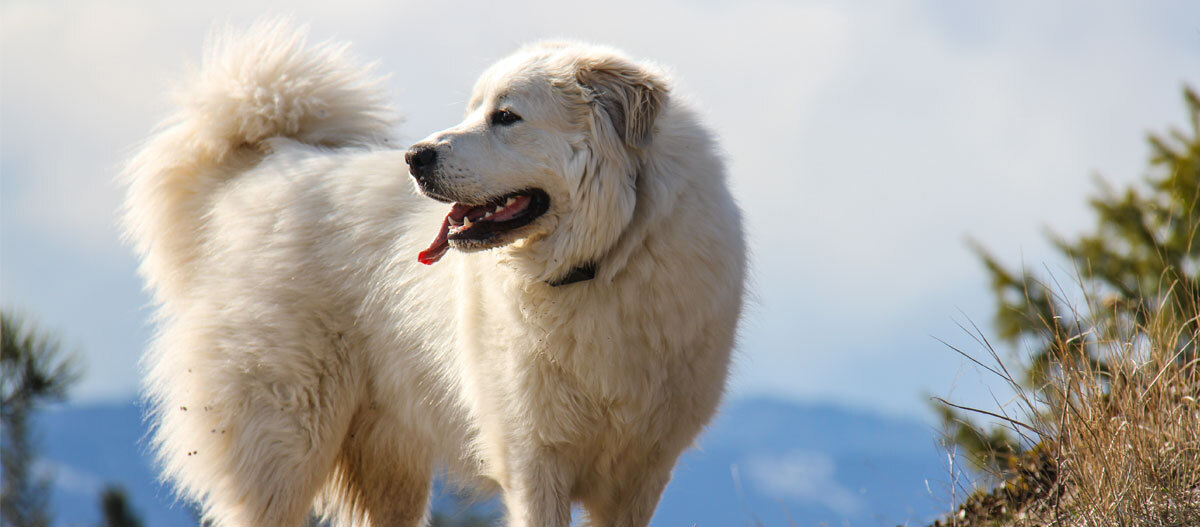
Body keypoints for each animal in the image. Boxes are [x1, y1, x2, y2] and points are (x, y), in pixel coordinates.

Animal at [121, 21, 739, 527]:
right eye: (473, 110)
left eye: (506, 116)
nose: (414, 157)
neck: (601, 261)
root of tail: (264, 166)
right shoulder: (532, 460)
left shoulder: (642, 472)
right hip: (283, 443)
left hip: (389, 462)